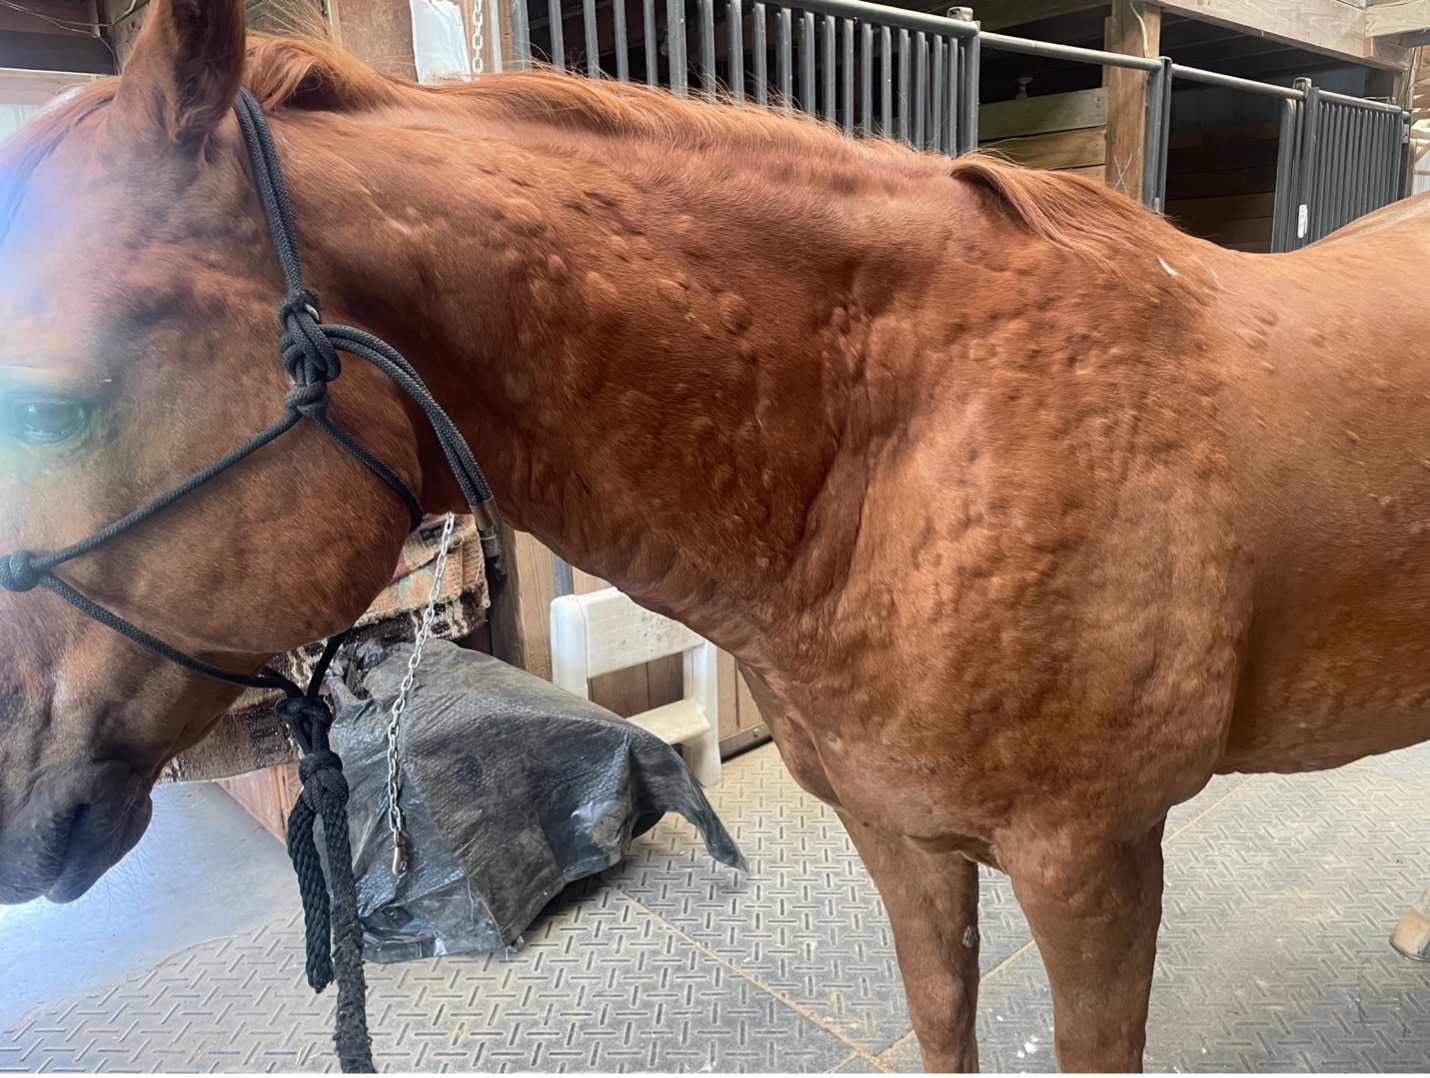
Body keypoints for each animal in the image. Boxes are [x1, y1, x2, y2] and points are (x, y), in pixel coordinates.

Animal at [3, 0, 1429, 1070]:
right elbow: (941, 1022)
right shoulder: (902, 839)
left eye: (43, 403)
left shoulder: (1093, 864)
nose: (13, 817)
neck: (910, 444)